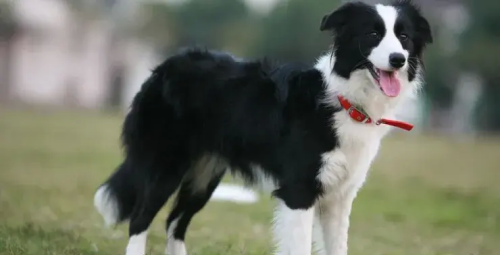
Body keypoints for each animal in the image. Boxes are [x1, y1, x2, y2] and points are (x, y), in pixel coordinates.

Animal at [95, 0, 432, 254]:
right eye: (373, 33)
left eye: (404, 37)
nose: (398, 59)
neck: (347, 100)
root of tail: (165, 66)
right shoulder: (298, 191)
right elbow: (300, 247)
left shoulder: (340, 198)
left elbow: (338, 247)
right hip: (166, 165)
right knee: (140, 220)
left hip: (205, 175)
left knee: (175, 223)